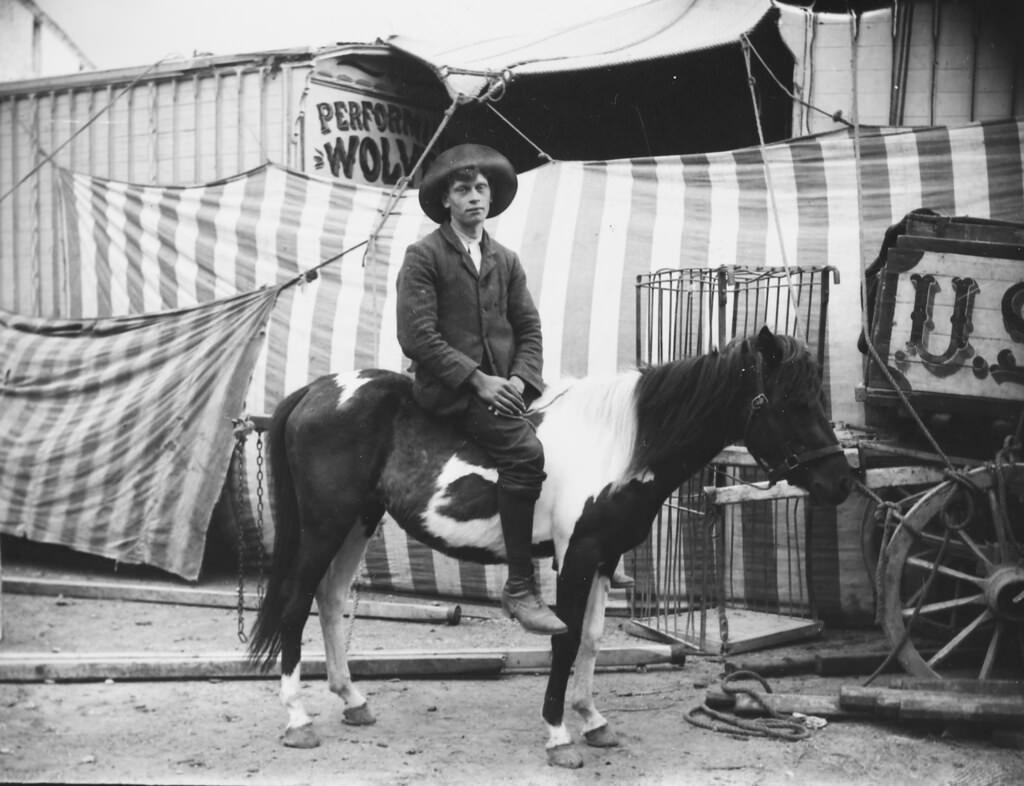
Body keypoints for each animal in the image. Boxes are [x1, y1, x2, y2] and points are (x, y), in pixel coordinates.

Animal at [243, 325, 851, 769]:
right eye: (791, 403)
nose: (841, 484)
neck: (618, 446)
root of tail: (319, 391)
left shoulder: (604, 555)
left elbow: (595, 639)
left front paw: (593, 720)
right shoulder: (574, 556)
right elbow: (565, 639)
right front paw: (559, 735)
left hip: (358, 522)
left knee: (330, 599)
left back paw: (352, 701)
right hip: (325, 525)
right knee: (297, 603)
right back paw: (298, 720)